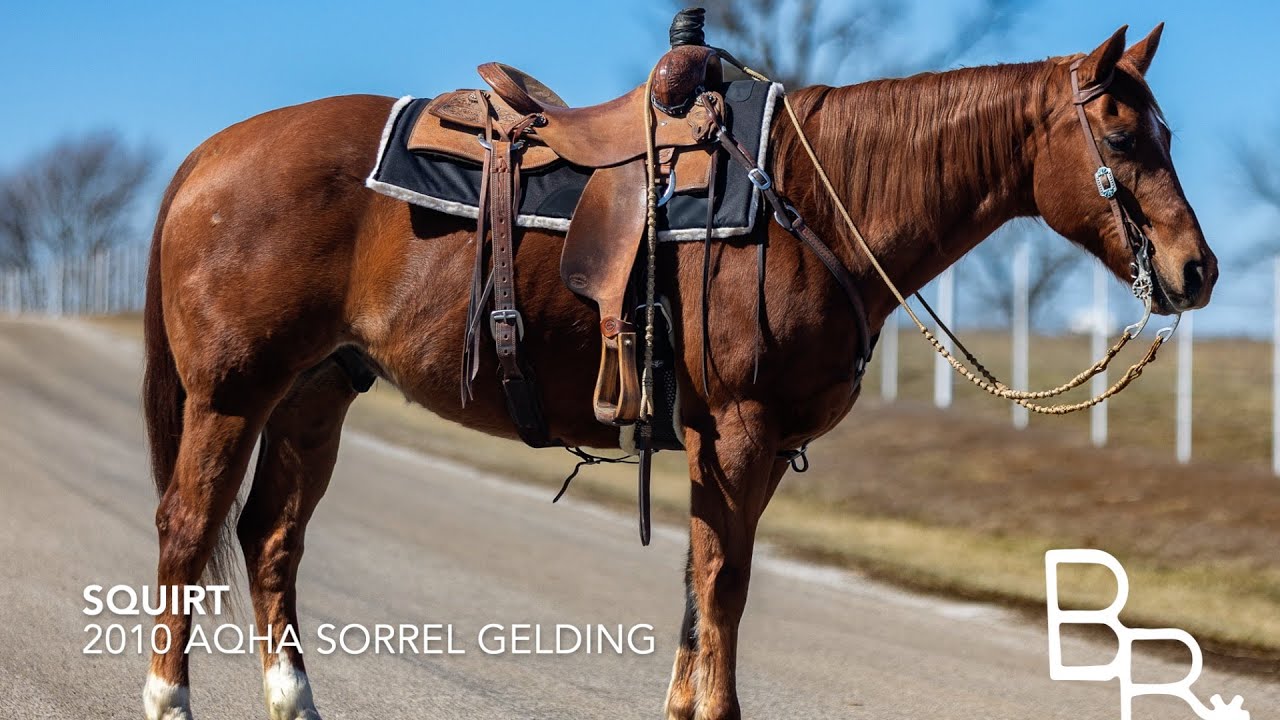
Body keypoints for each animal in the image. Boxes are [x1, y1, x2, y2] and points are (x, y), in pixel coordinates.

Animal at [140, 24, 1215, 720]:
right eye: (1124, 137)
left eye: (1170, 134)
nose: (1194, 270)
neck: (810, 201)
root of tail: (211, 154)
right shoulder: (736, 430)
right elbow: (723, 584)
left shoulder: (736, 444)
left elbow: (699, 585)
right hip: (231, 395)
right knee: (188, 531)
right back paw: (168, 699)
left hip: (316, 393)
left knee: (270, 539)